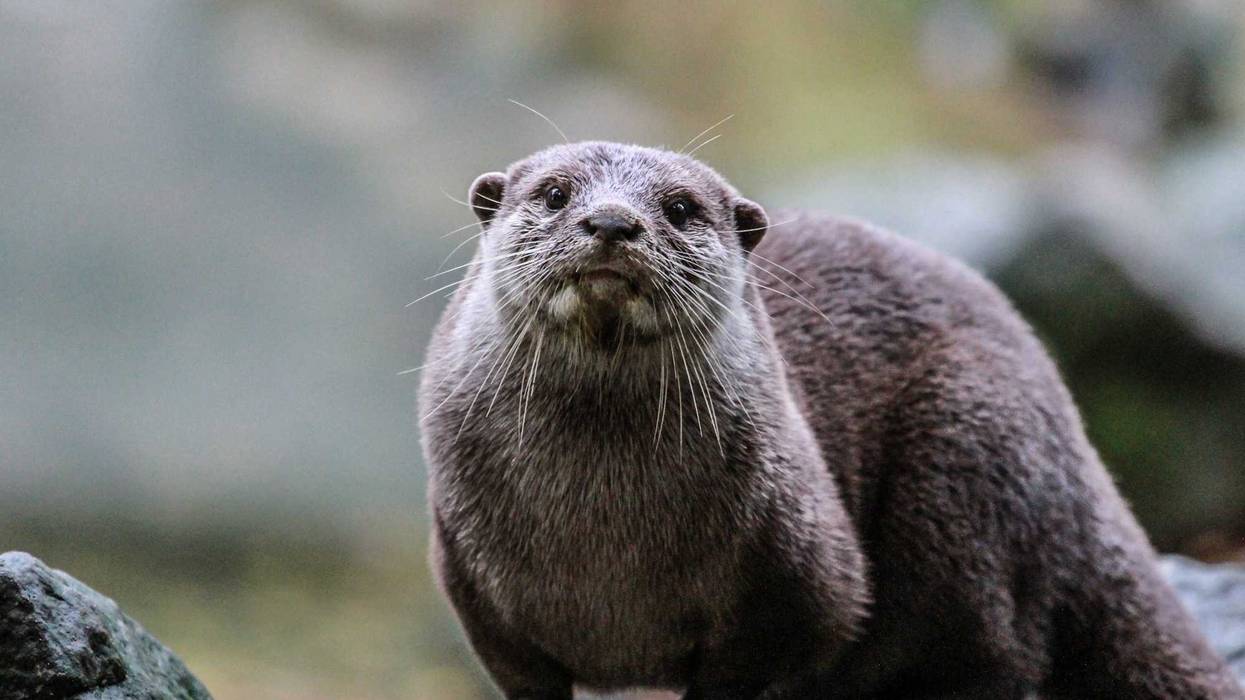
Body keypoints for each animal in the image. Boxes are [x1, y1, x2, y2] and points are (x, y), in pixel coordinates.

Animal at [418, 141, 1242, 699]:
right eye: (555, 193)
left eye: (679, 208)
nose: (613, 222)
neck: (603, 532)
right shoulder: (470, 581)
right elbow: (526, 676)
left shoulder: (803, 569)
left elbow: (773, 650)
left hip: (968, 445)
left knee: (994, 651)